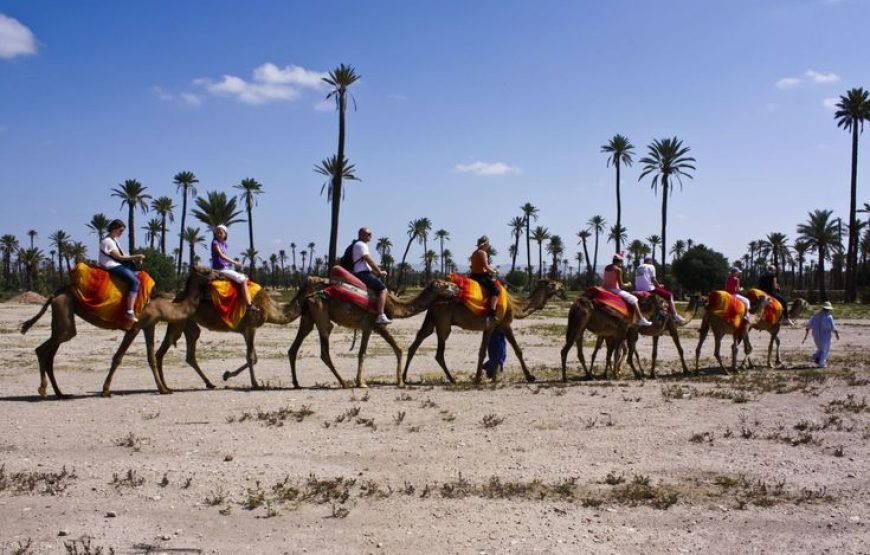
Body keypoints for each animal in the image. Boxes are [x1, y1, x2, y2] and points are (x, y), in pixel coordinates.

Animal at [20, 266, 216, 400]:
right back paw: (43, 390)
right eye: (206, 271)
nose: (218, 274)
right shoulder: (135, 327)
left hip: (62, 320)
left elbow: (151, 357)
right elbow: (118, 357)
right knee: (42, 350)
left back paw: (60, 393)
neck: (162, 307)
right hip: (64, 317)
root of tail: (54, 295)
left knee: (50, 353)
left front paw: (164, 389)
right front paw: (106, 390)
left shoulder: (149, 326)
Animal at [153, 274, 330, 388]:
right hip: (179, 321)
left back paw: (209, 383)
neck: (270, 309)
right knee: (163, 349)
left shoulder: (245, 330)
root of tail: (176, 297)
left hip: (189, 323)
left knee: (190, 350)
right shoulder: (251, 327)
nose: (328, 280)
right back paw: (165, 386)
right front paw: (256, 384)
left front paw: (227, 374)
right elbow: (251, 357)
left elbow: (254, 357)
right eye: (319, 281)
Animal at [288, 280, 464, 388]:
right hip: (321, 314)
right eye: (445, 284)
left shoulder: (367, 327)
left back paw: (296, 383)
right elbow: (398, 349)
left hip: (308, 317)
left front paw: (361, 382)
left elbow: (362, 353)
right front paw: (400, 382)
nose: (457, 287)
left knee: (293, 348)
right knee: (324, 349)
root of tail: (309, 297)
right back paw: (344, 383)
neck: (393, 305)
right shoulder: (376, 324)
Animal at [402, 280, 564, 384]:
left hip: (431, 320)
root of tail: (435, 302)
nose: (562, 287)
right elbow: (515, 350)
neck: (515, 305)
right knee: (439, 353)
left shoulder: (494, 327)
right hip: (443, 323)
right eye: (553, 283)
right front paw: (530, 377)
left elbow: (492, 352)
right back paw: (452, 379)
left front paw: (489, 377)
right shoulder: (502, 324)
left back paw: (404, 377)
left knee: (416, 342)